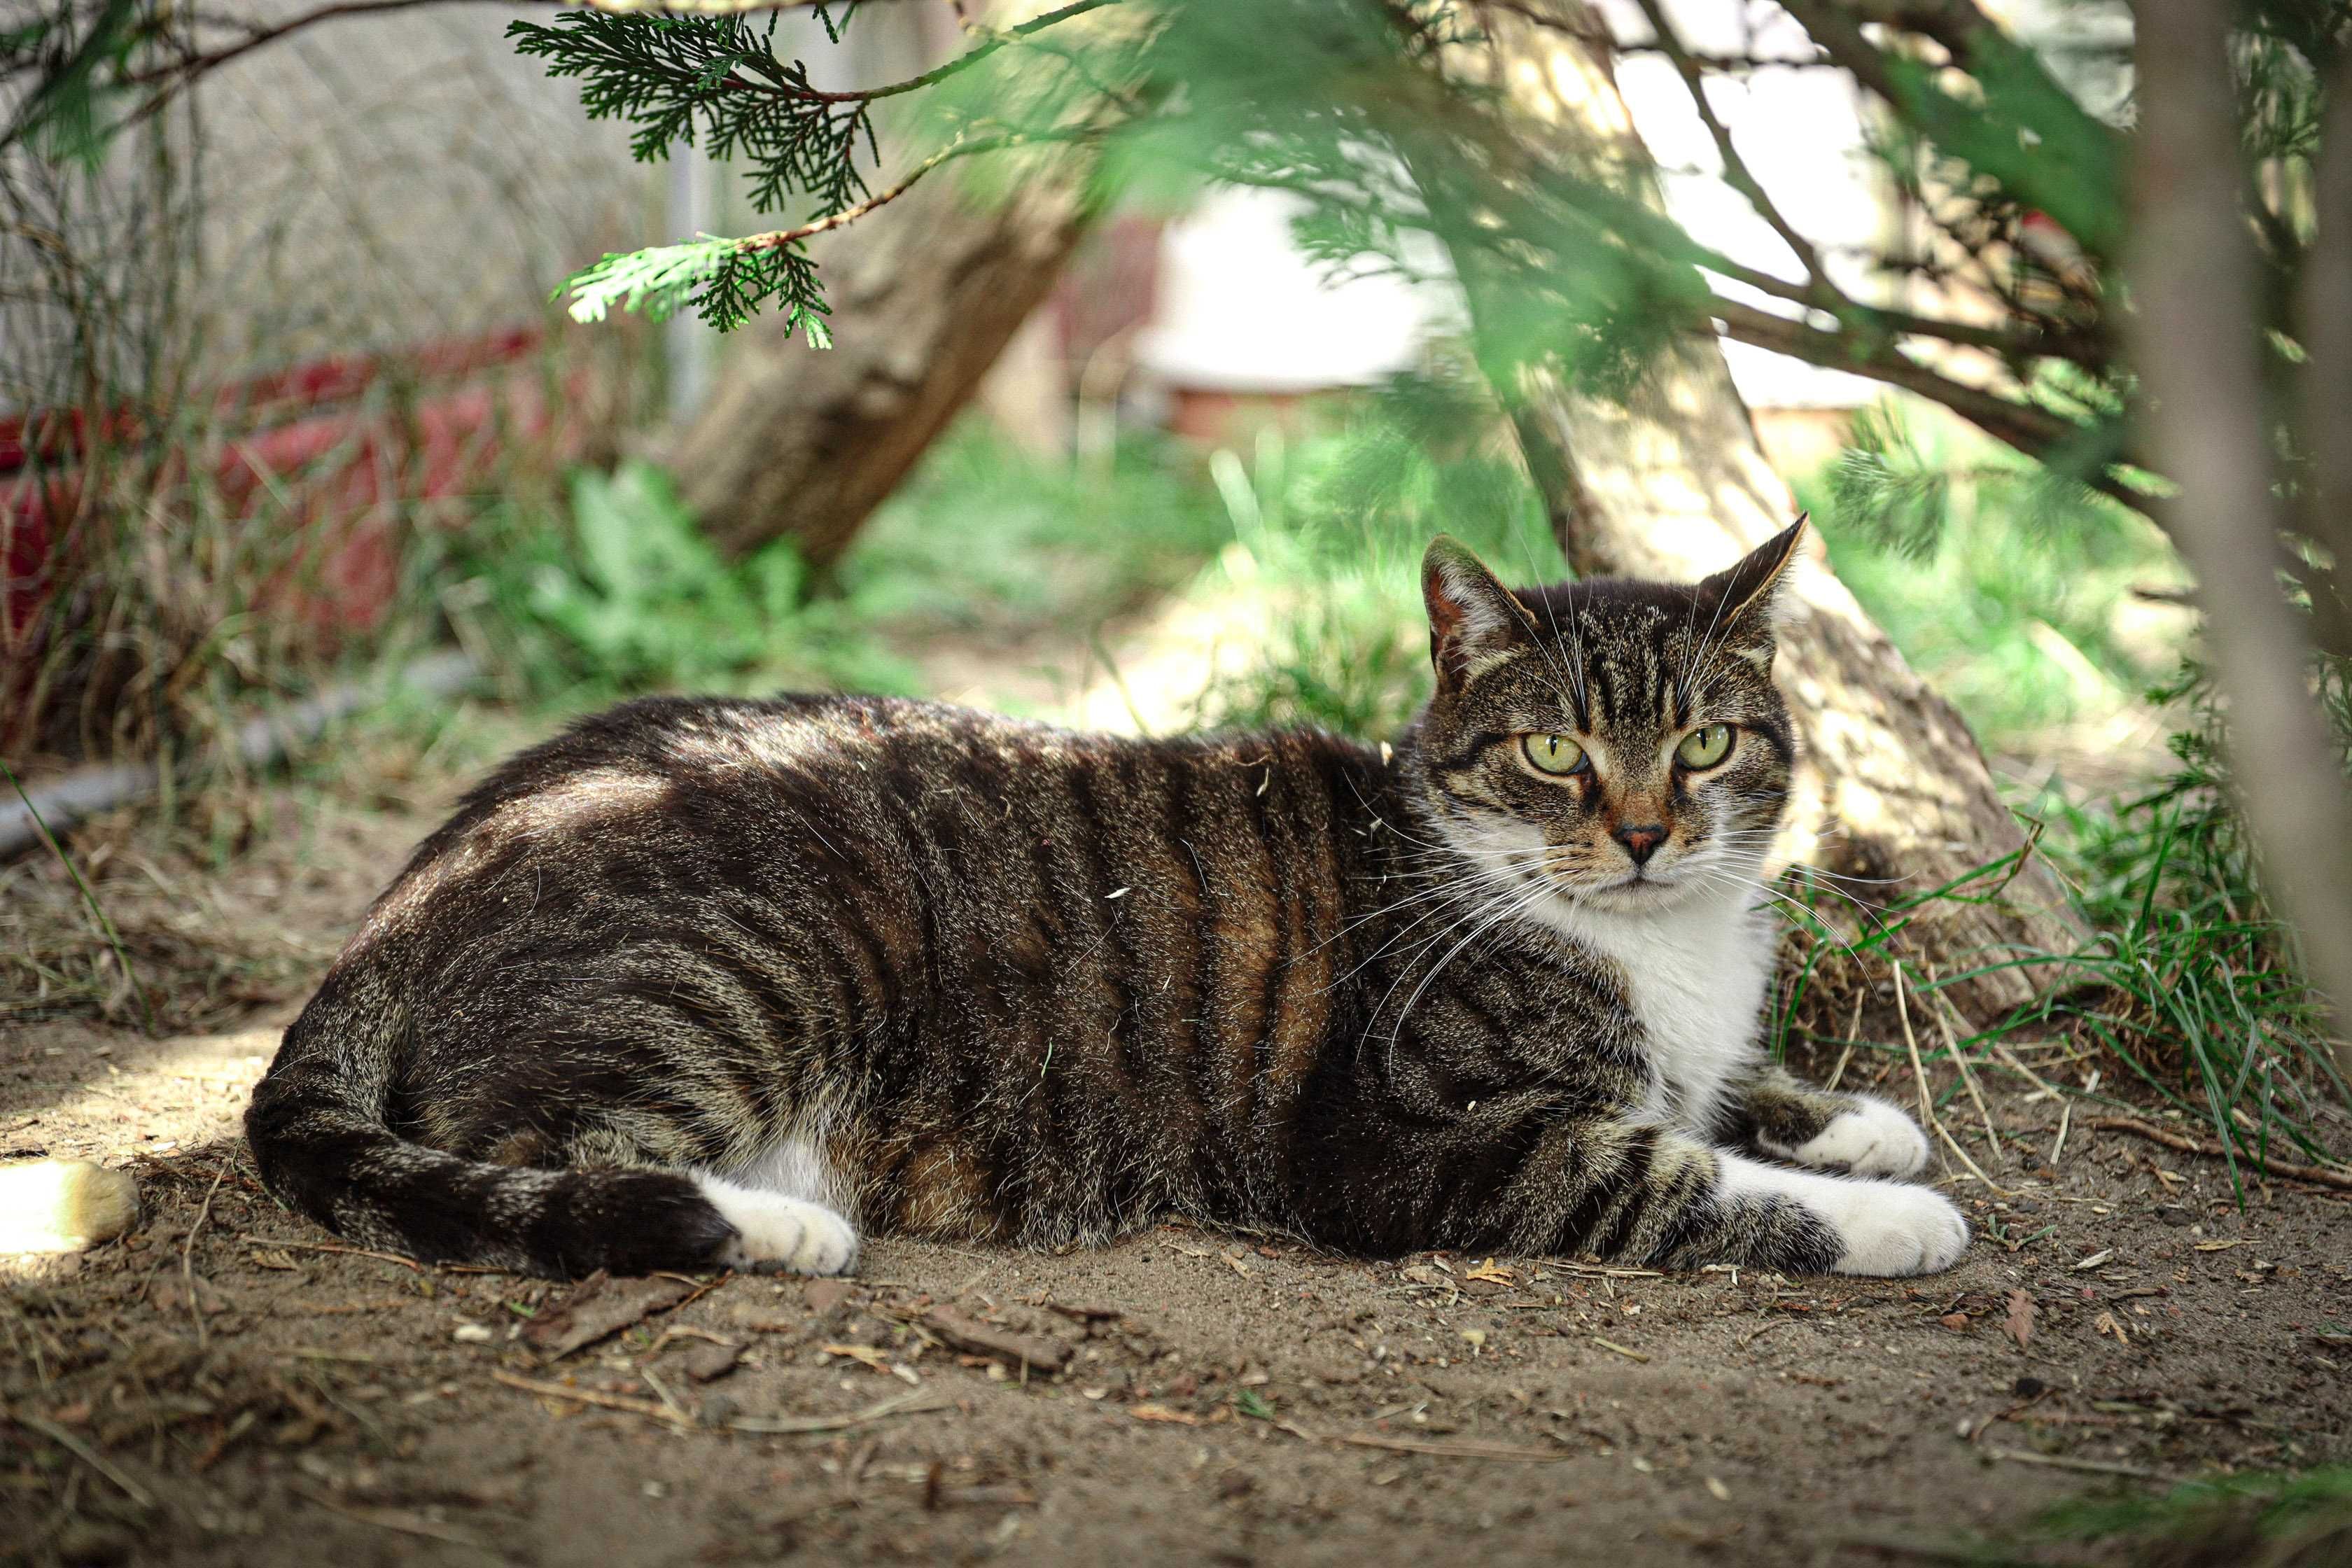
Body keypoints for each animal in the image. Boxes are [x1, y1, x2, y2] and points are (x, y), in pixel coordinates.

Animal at [248, 522, 1966, 1278]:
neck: (1668, 947)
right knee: (547, 1158)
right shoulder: (1406, 1143)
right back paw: (778, 1226)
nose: (1648, 833)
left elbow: (1720, 1097)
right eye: (1555, 751)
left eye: (1705, 742)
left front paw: (1851, 1118)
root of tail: (415, 881)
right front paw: (1892, 1210)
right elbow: (1672, 1173)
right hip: (738, 970)